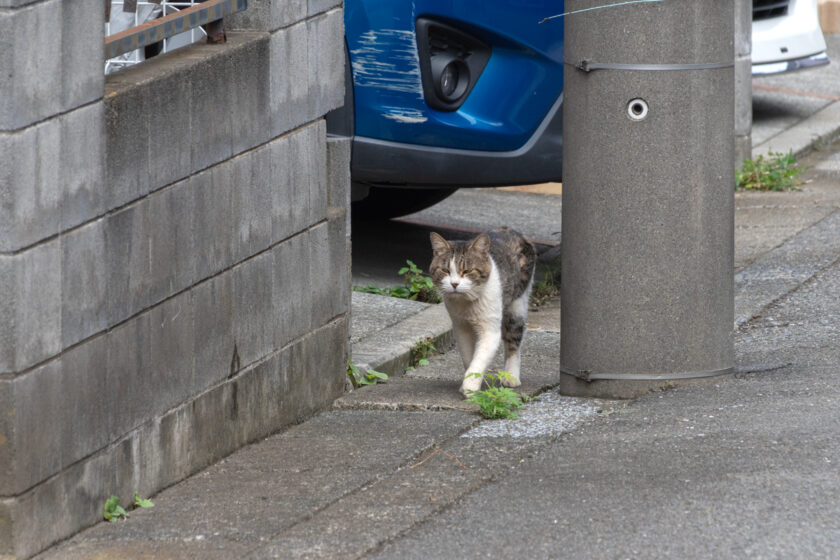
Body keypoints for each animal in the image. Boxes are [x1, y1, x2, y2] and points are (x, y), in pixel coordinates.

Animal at [426, 225, 540, 396]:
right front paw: (469, 380)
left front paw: (470, 387)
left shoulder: (490, 331)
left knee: (513, 343)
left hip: (516, 307)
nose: (454, 284)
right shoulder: (461, 328)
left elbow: (480, 358)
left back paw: (511, 376)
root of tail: (513, 231)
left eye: (467, 271)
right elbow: (469, 357)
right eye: (445, 270)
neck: (466, 303)